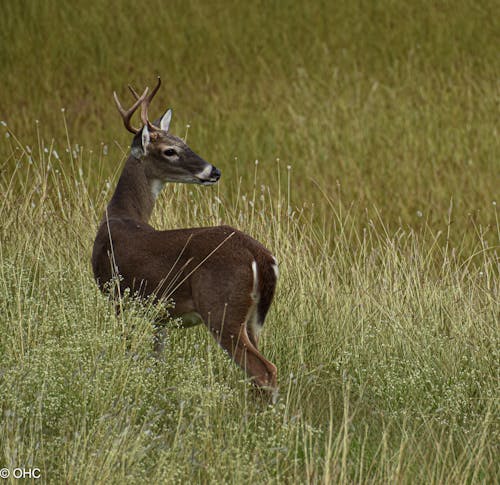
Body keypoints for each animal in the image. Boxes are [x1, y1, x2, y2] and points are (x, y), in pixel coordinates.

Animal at [90, 76, 278, 394]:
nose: (213, 171)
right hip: (253, 318)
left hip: (221, 309)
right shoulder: (159, 316)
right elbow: (156, 361)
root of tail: (260, 256)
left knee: (264, 371)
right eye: (171, 150)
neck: (119, 215)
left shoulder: (116, 295)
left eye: (183, 143)